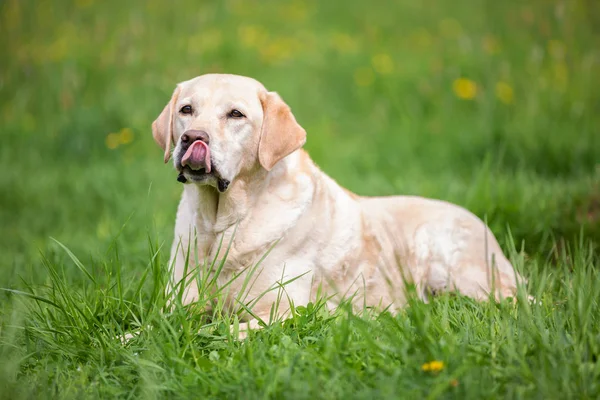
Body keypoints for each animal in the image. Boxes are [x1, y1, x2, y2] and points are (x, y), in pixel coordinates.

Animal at [151, 73, 524, 336]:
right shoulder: (177, 301)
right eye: (186, 110)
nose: (193, 138)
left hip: (452, 265)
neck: (220, 224)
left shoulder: (281, 310)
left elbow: (221, 330)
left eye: (235, 114)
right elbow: (156, 325)